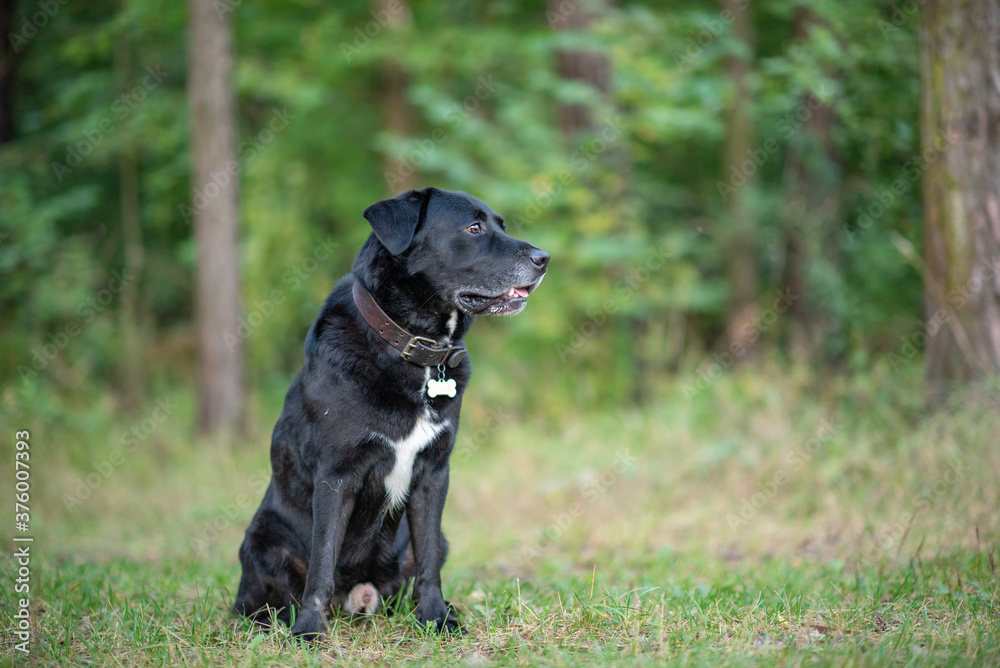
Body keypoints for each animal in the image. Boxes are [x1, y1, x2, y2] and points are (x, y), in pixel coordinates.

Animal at [233, 189, 548, 640]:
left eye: (501, 225)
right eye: (474, 228)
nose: (544, 258)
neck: (413, 347)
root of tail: (356, 598)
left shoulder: (434, 473)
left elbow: (429, 561)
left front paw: (436, 618)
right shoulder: (337, 475)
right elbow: (322, 562)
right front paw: (310, 631)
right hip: (262, 539)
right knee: (258, 598)